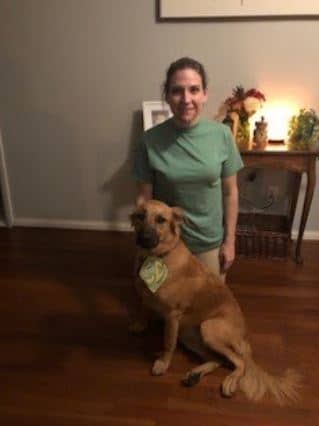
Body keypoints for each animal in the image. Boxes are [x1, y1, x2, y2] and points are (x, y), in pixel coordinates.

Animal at [131, 199, 300, 402]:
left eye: (161, 220)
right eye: (140, 216)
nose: (144, 238)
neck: (159, 256)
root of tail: (244, 339)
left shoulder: (172, 315)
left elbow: (168, 343)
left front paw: (163, 363)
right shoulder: (146, 297)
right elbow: (143, 307)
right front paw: (140, 324)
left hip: (208, 328)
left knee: (239, 362)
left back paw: (229, 381)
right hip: (189, 335)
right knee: (218, 360)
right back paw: (194, 374)